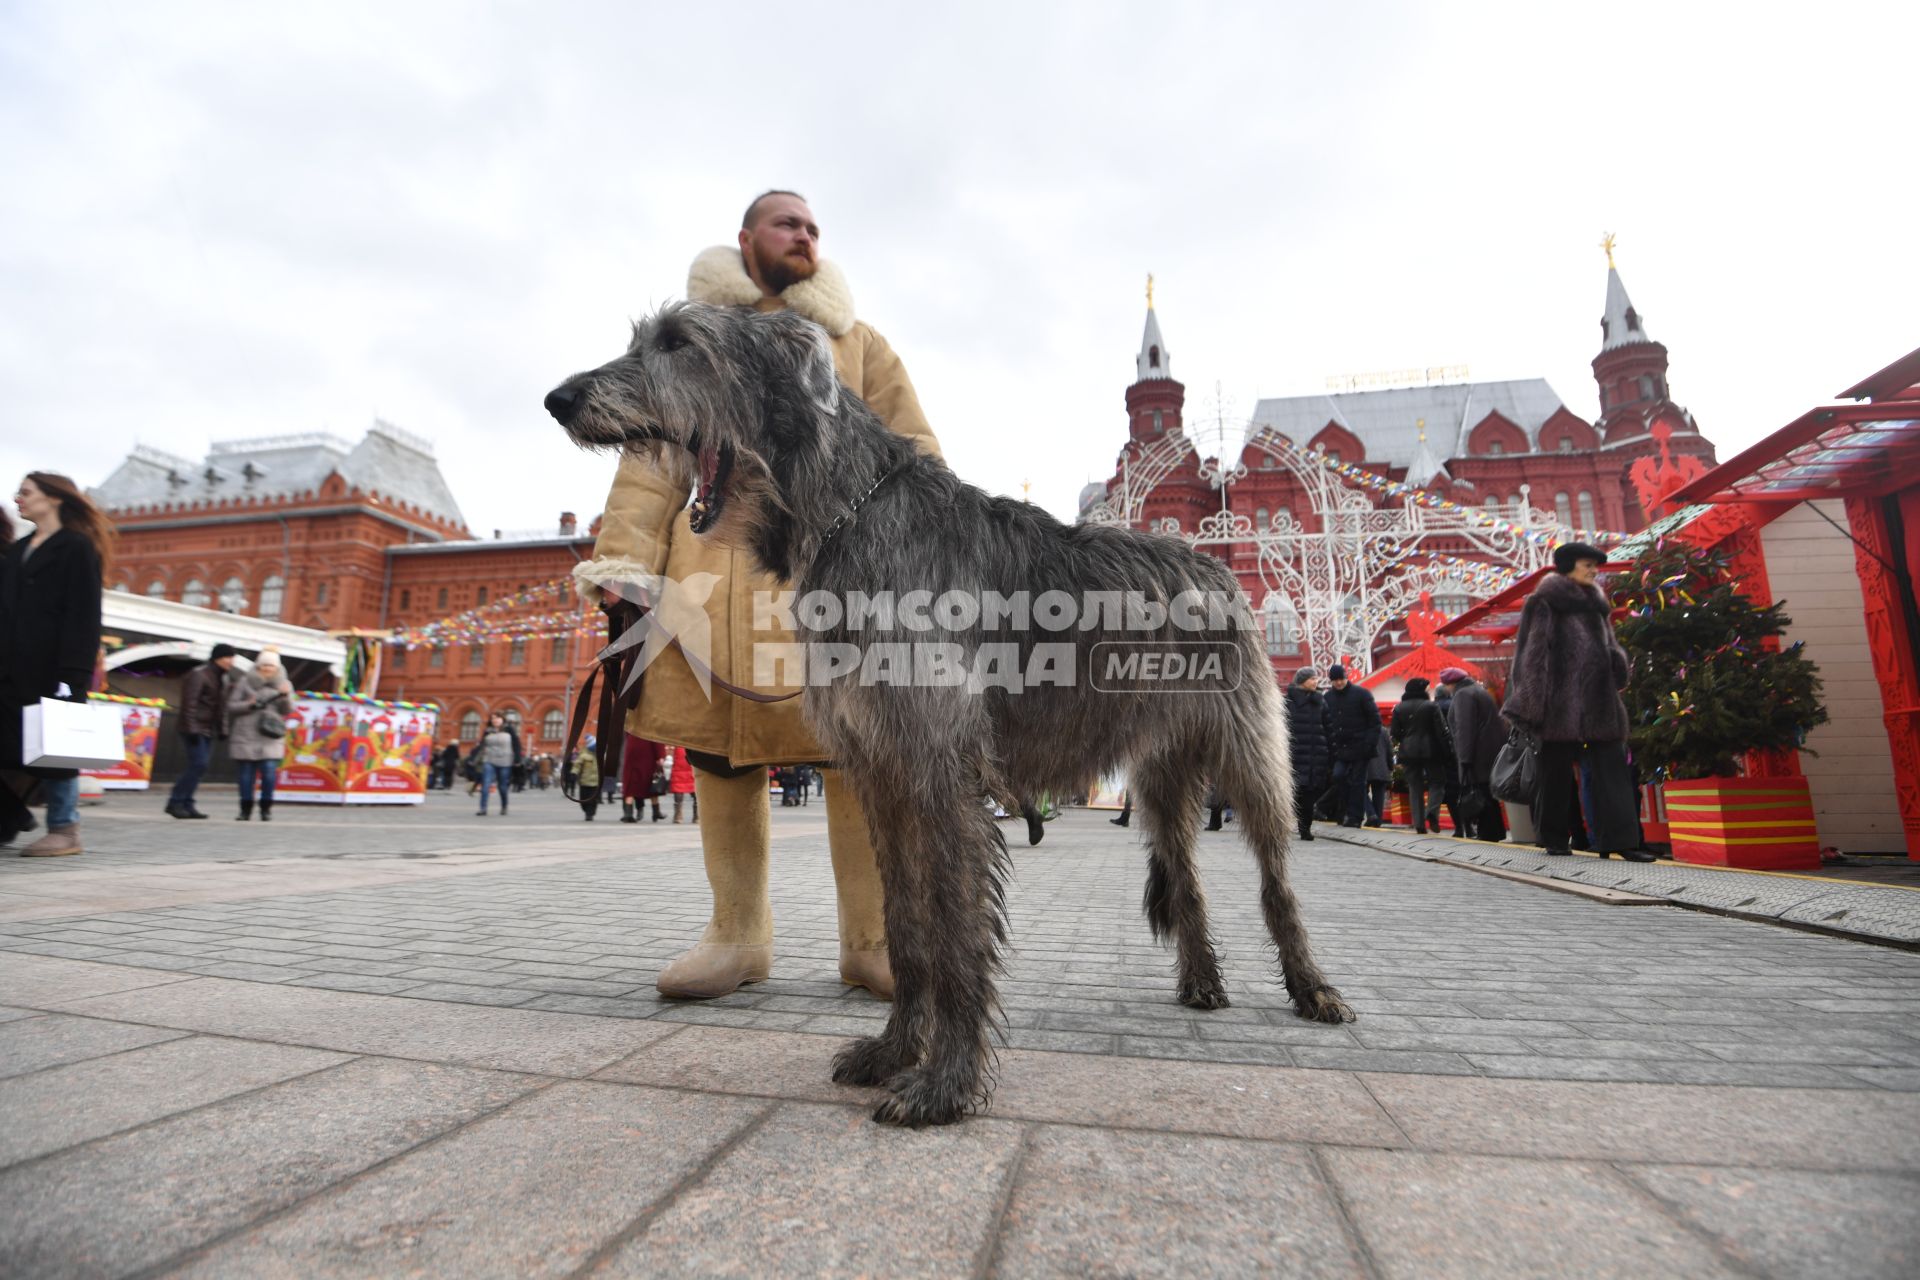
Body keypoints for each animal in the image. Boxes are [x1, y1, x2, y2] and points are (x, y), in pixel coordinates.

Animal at [541, 305, 1351, 1128]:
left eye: (680, 343)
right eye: (643, 338)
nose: (559, 399)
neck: (849, 518)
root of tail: (1215, 562)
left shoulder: (942, 776)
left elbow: (957, 932)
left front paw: (946, 1084)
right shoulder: (882, 774)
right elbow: (905, 926)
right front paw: (894, 1051)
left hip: (1251, 757)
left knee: (1276, 881)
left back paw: (1312, 988)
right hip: (1162, 776)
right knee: (1184, 874)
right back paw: (1201, 983)